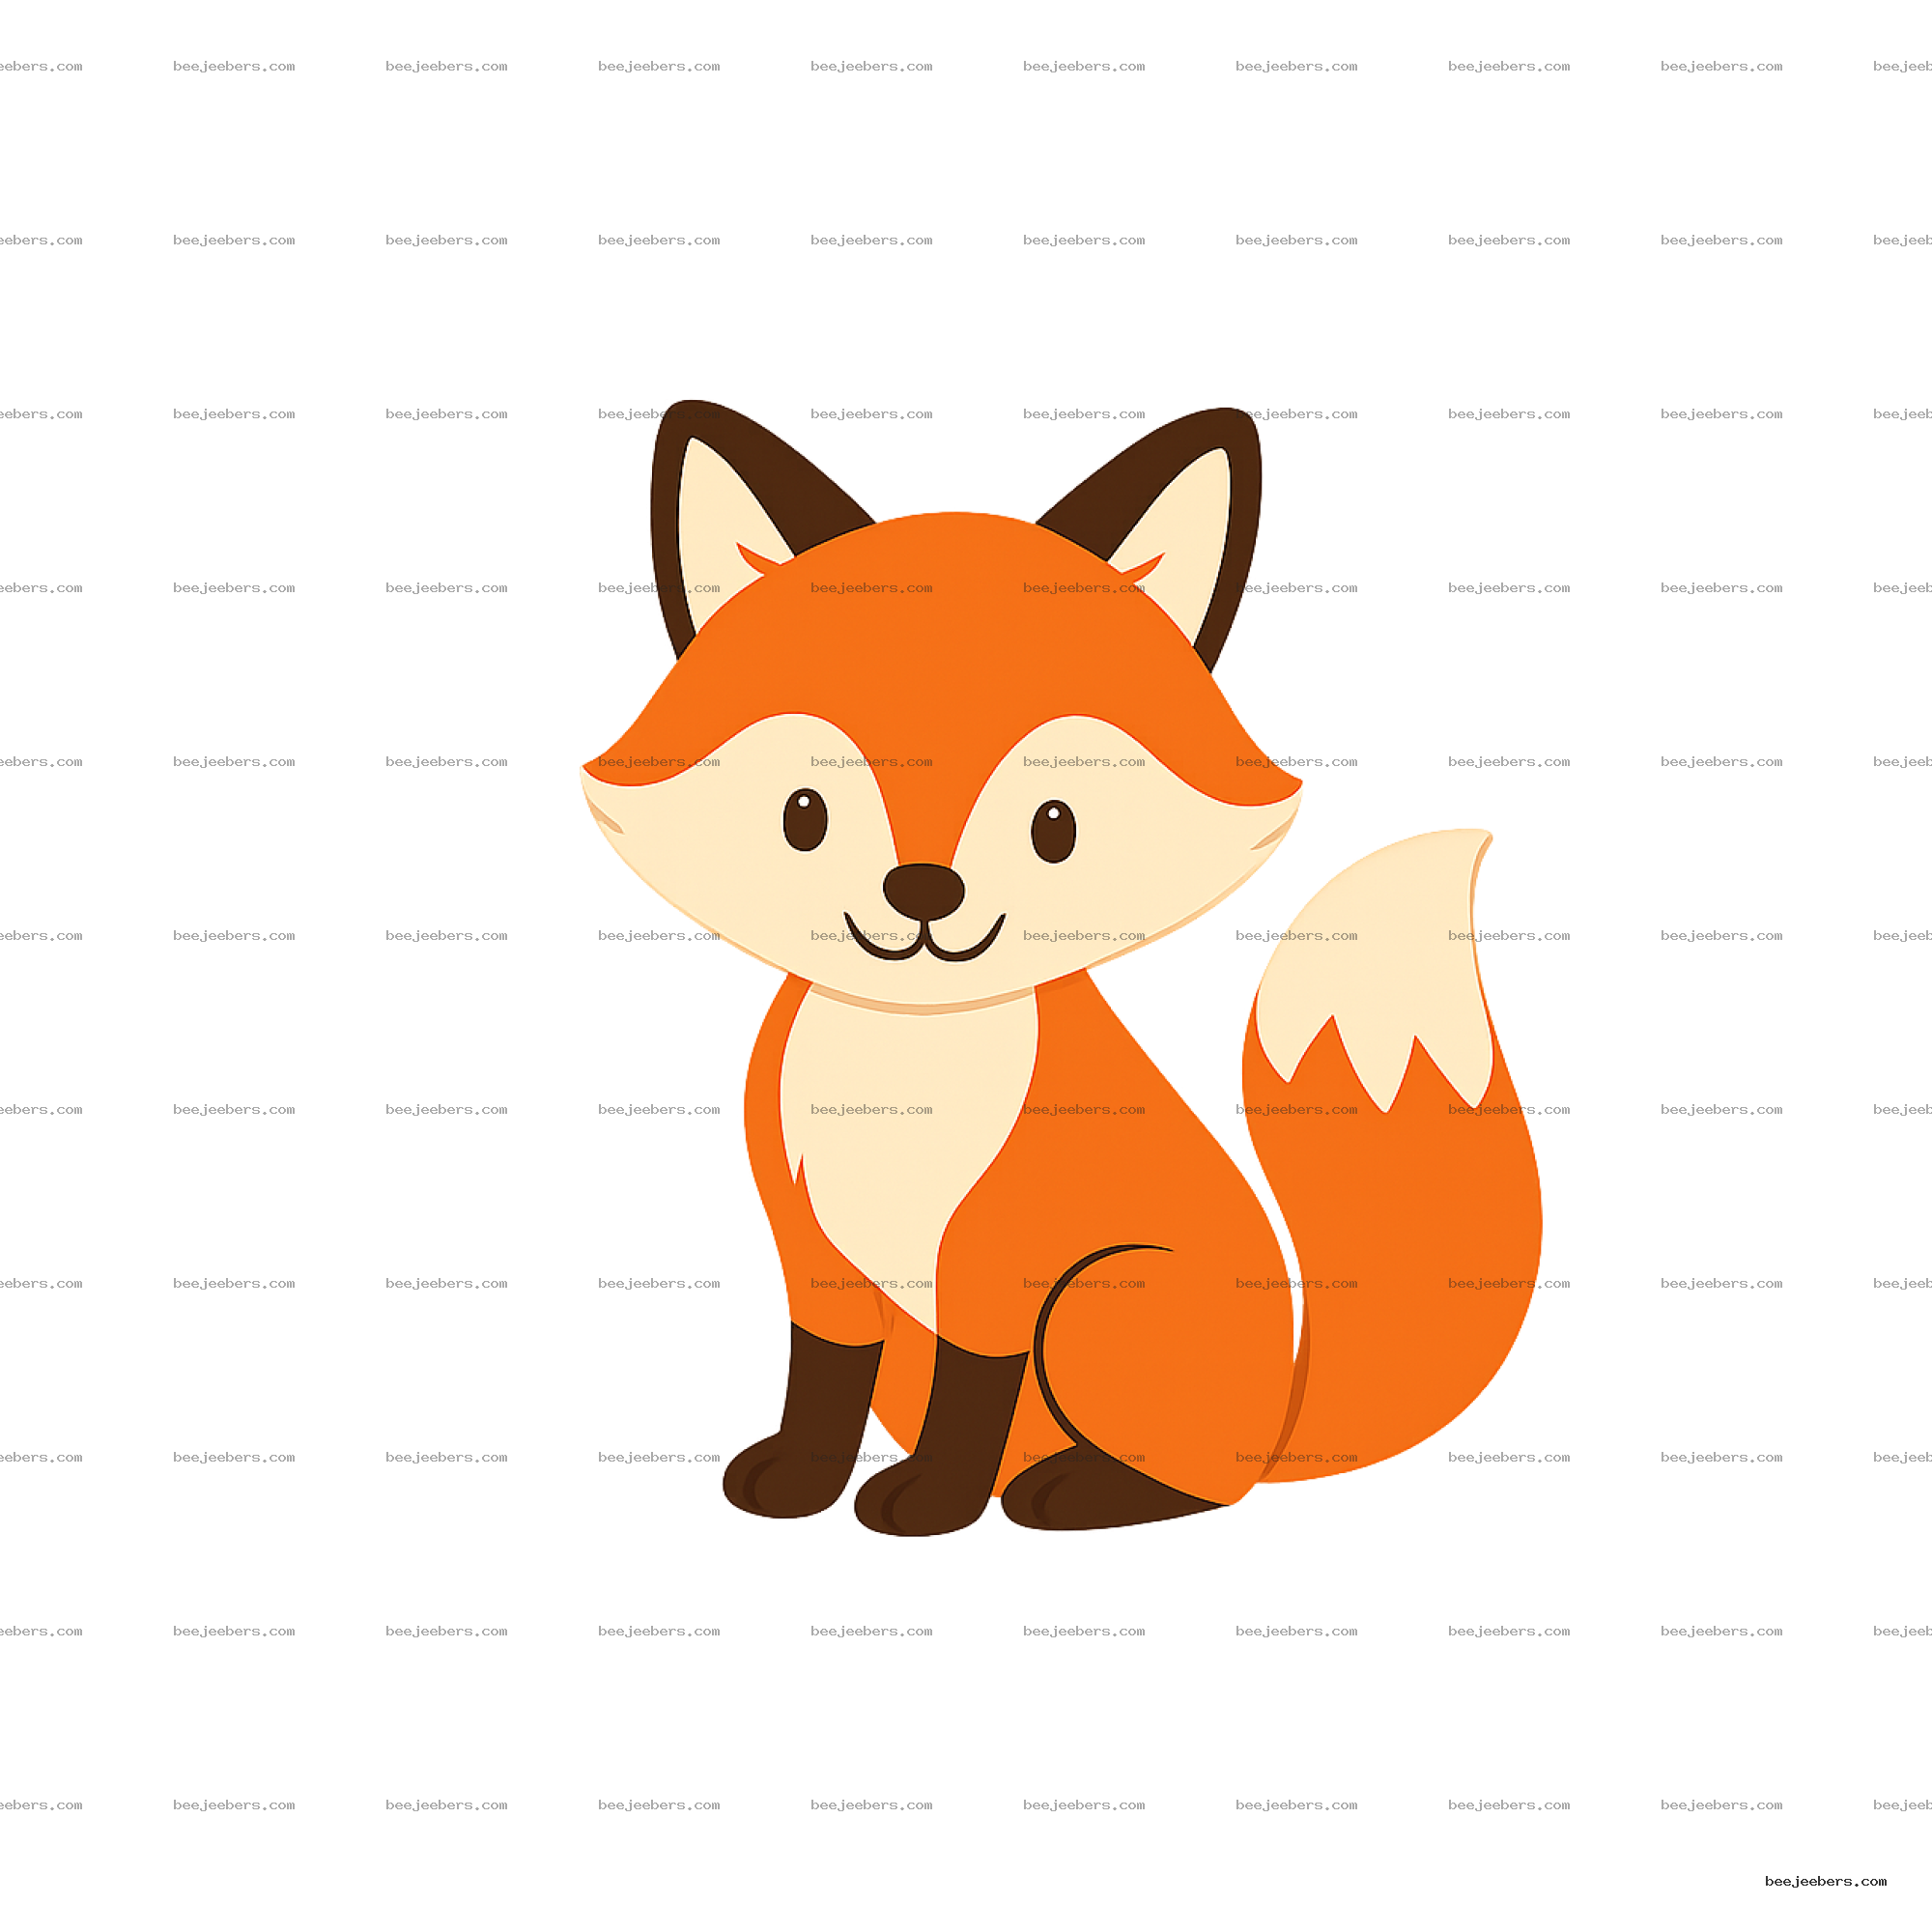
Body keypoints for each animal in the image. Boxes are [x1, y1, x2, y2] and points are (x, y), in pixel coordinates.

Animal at [580, 400, 1544, 1536]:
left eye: (1056, 824)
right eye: (801, 814)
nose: (922, 890)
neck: (901, 1071)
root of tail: (1285, 1413)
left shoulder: (998, 1268)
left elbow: (972, 1391)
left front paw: (933, 1501)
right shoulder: (815, 1256)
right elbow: (822, 1375)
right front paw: (804, 1479)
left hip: (1102, 1298)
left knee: (1192, 1484)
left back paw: (1076, 1491)